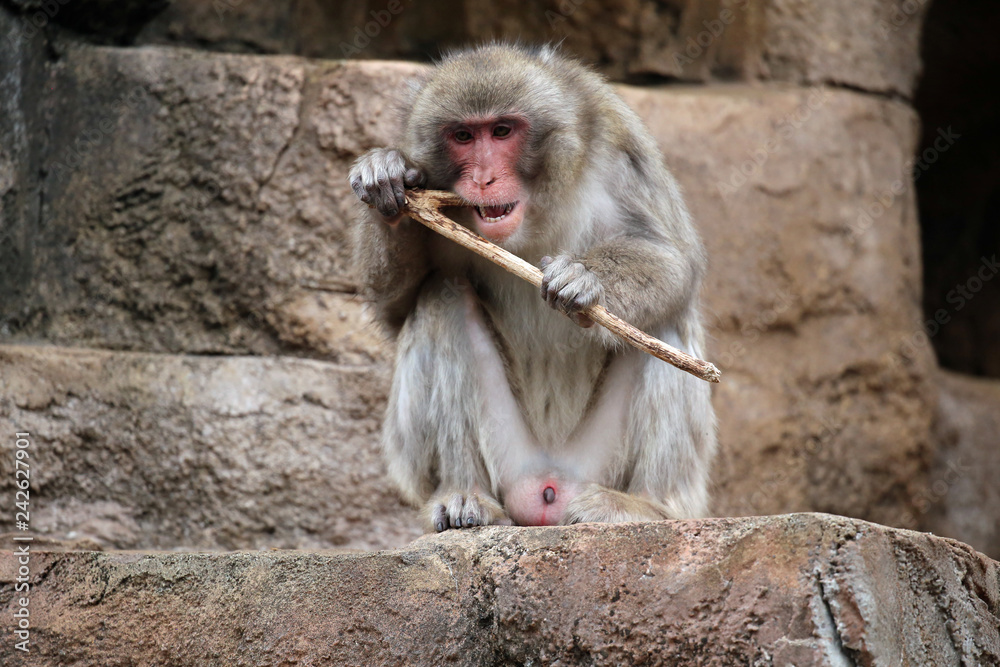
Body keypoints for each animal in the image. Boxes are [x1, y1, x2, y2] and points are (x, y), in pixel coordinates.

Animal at [348, 43, 716, 532]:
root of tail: (548, 483)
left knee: (662, 324)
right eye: (463, 136)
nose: (483, 178)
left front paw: (585, 279)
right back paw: (464, 495)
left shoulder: (620, 144)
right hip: (507, 461)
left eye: (502, 131)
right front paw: (384, 176)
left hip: (600, 466)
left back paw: (644, 504)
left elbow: (675, 259)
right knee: (441, 297)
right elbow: (395, 308)